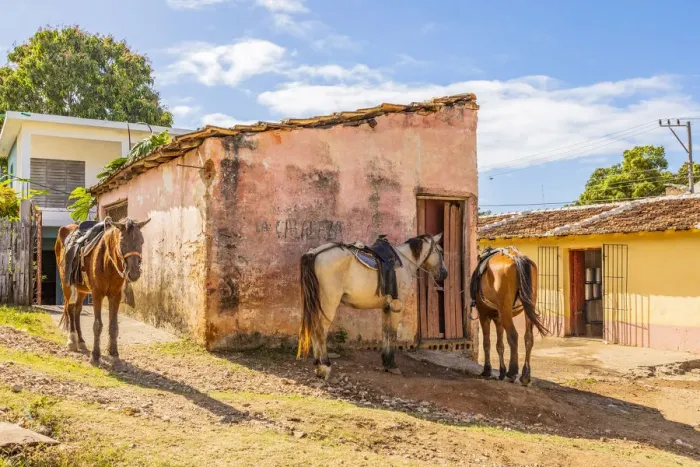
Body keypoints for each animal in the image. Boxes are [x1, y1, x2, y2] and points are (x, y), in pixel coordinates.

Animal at [55, 217, 150, 365]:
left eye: (141, 241)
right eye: (122, 242)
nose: (134, 273)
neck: (108, 263)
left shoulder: (115, 295)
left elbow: (113, 326)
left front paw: (113, 354)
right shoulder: (97, 294)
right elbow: (97, 325)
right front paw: (95, 356)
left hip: (82, 289)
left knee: (77, 310)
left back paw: (81, 341)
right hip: (67, 285)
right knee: (70, 309)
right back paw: (72, 340)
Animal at [297, 233, 448, 380]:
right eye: (440, 251)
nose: (445, 274)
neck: (405, 263)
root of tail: (314, 253)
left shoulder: (386, 307)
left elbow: (386, 332)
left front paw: (386, 363)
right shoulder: (397, 307)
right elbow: (392, 333)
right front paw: (392, 365)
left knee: (314, 330)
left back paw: (318, 366)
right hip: (328, 303)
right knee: (321, 331)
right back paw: (325, 366)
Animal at [470, 246, 548, 386]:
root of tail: (516, 257)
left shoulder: (484, 315)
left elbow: (487, 343)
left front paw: (487, 370)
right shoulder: (498, 319)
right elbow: (499, 345)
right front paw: (501, 371)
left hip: (505, 311)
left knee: (513, 335)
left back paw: (512, 372)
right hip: (528, 308)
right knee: (528, 338)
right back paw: (525, 376)